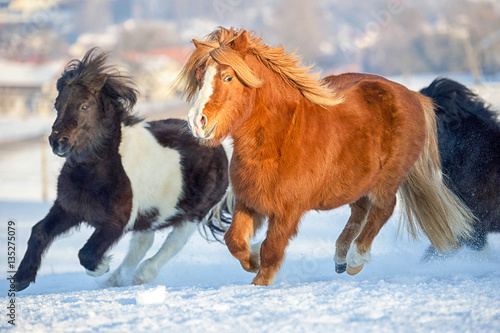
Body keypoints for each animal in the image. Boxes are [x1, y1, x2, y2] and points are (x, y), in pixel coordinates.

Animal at [177, 27, 476, 284]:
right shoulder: (249, 200)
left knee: (382, 209)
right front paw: (252, 258)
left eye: (228, 77)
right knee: (360, 211)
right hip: (358, 181)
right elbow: (235, 241)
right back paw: (340, 257)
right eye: (200, 77)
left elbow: (271, 251)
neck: (281, 136)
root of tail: (412, 95)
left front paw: (259, 282)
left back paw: (355, 259)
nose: (196, 122)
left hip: (388, 178)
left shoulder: (287, 211)